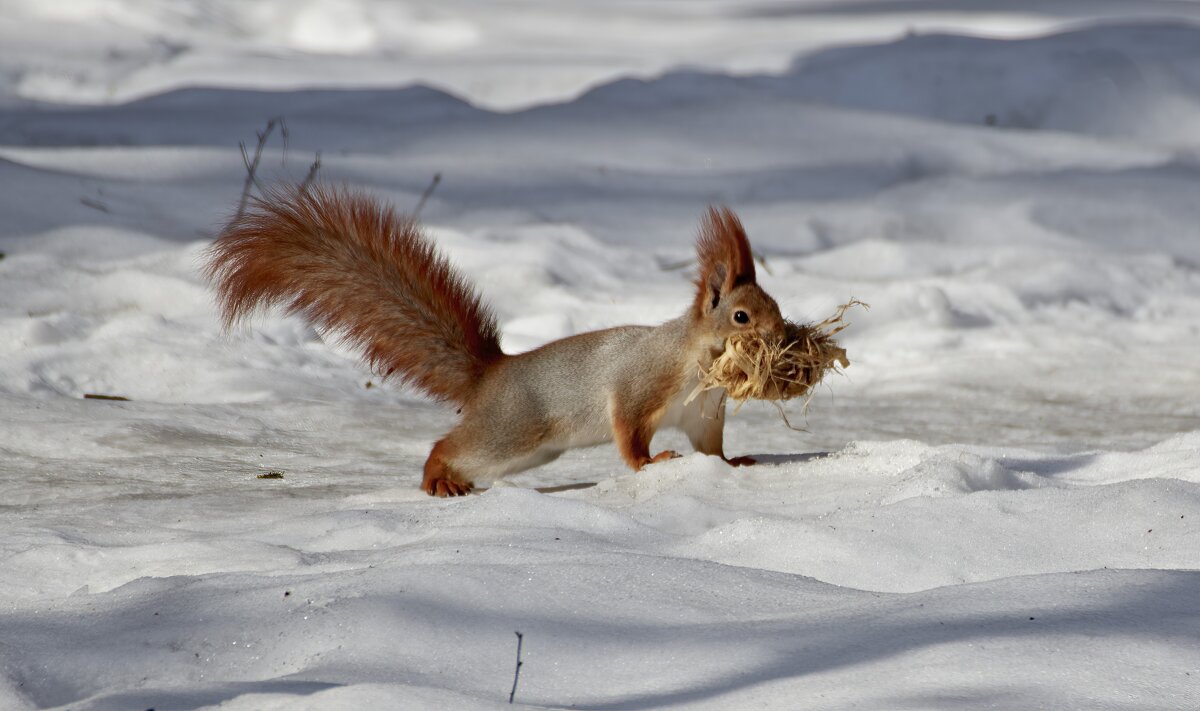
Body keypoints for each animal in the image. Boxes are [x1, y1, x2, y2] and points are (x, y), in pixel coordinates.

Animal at [206, 186, 787, 497]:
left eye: (776, 305)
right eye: (741, 316)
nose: (782, 336)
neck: (699, 360)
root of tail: (492, 375)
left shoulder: (703, 414)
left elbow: (711, 449)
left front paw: (735, 464)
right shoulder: (641, 385)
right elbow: (629, 435)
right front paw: (653, 463)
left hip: (531, 452)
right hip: (511, 434)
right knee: (447, 448)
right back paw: (439, 479)